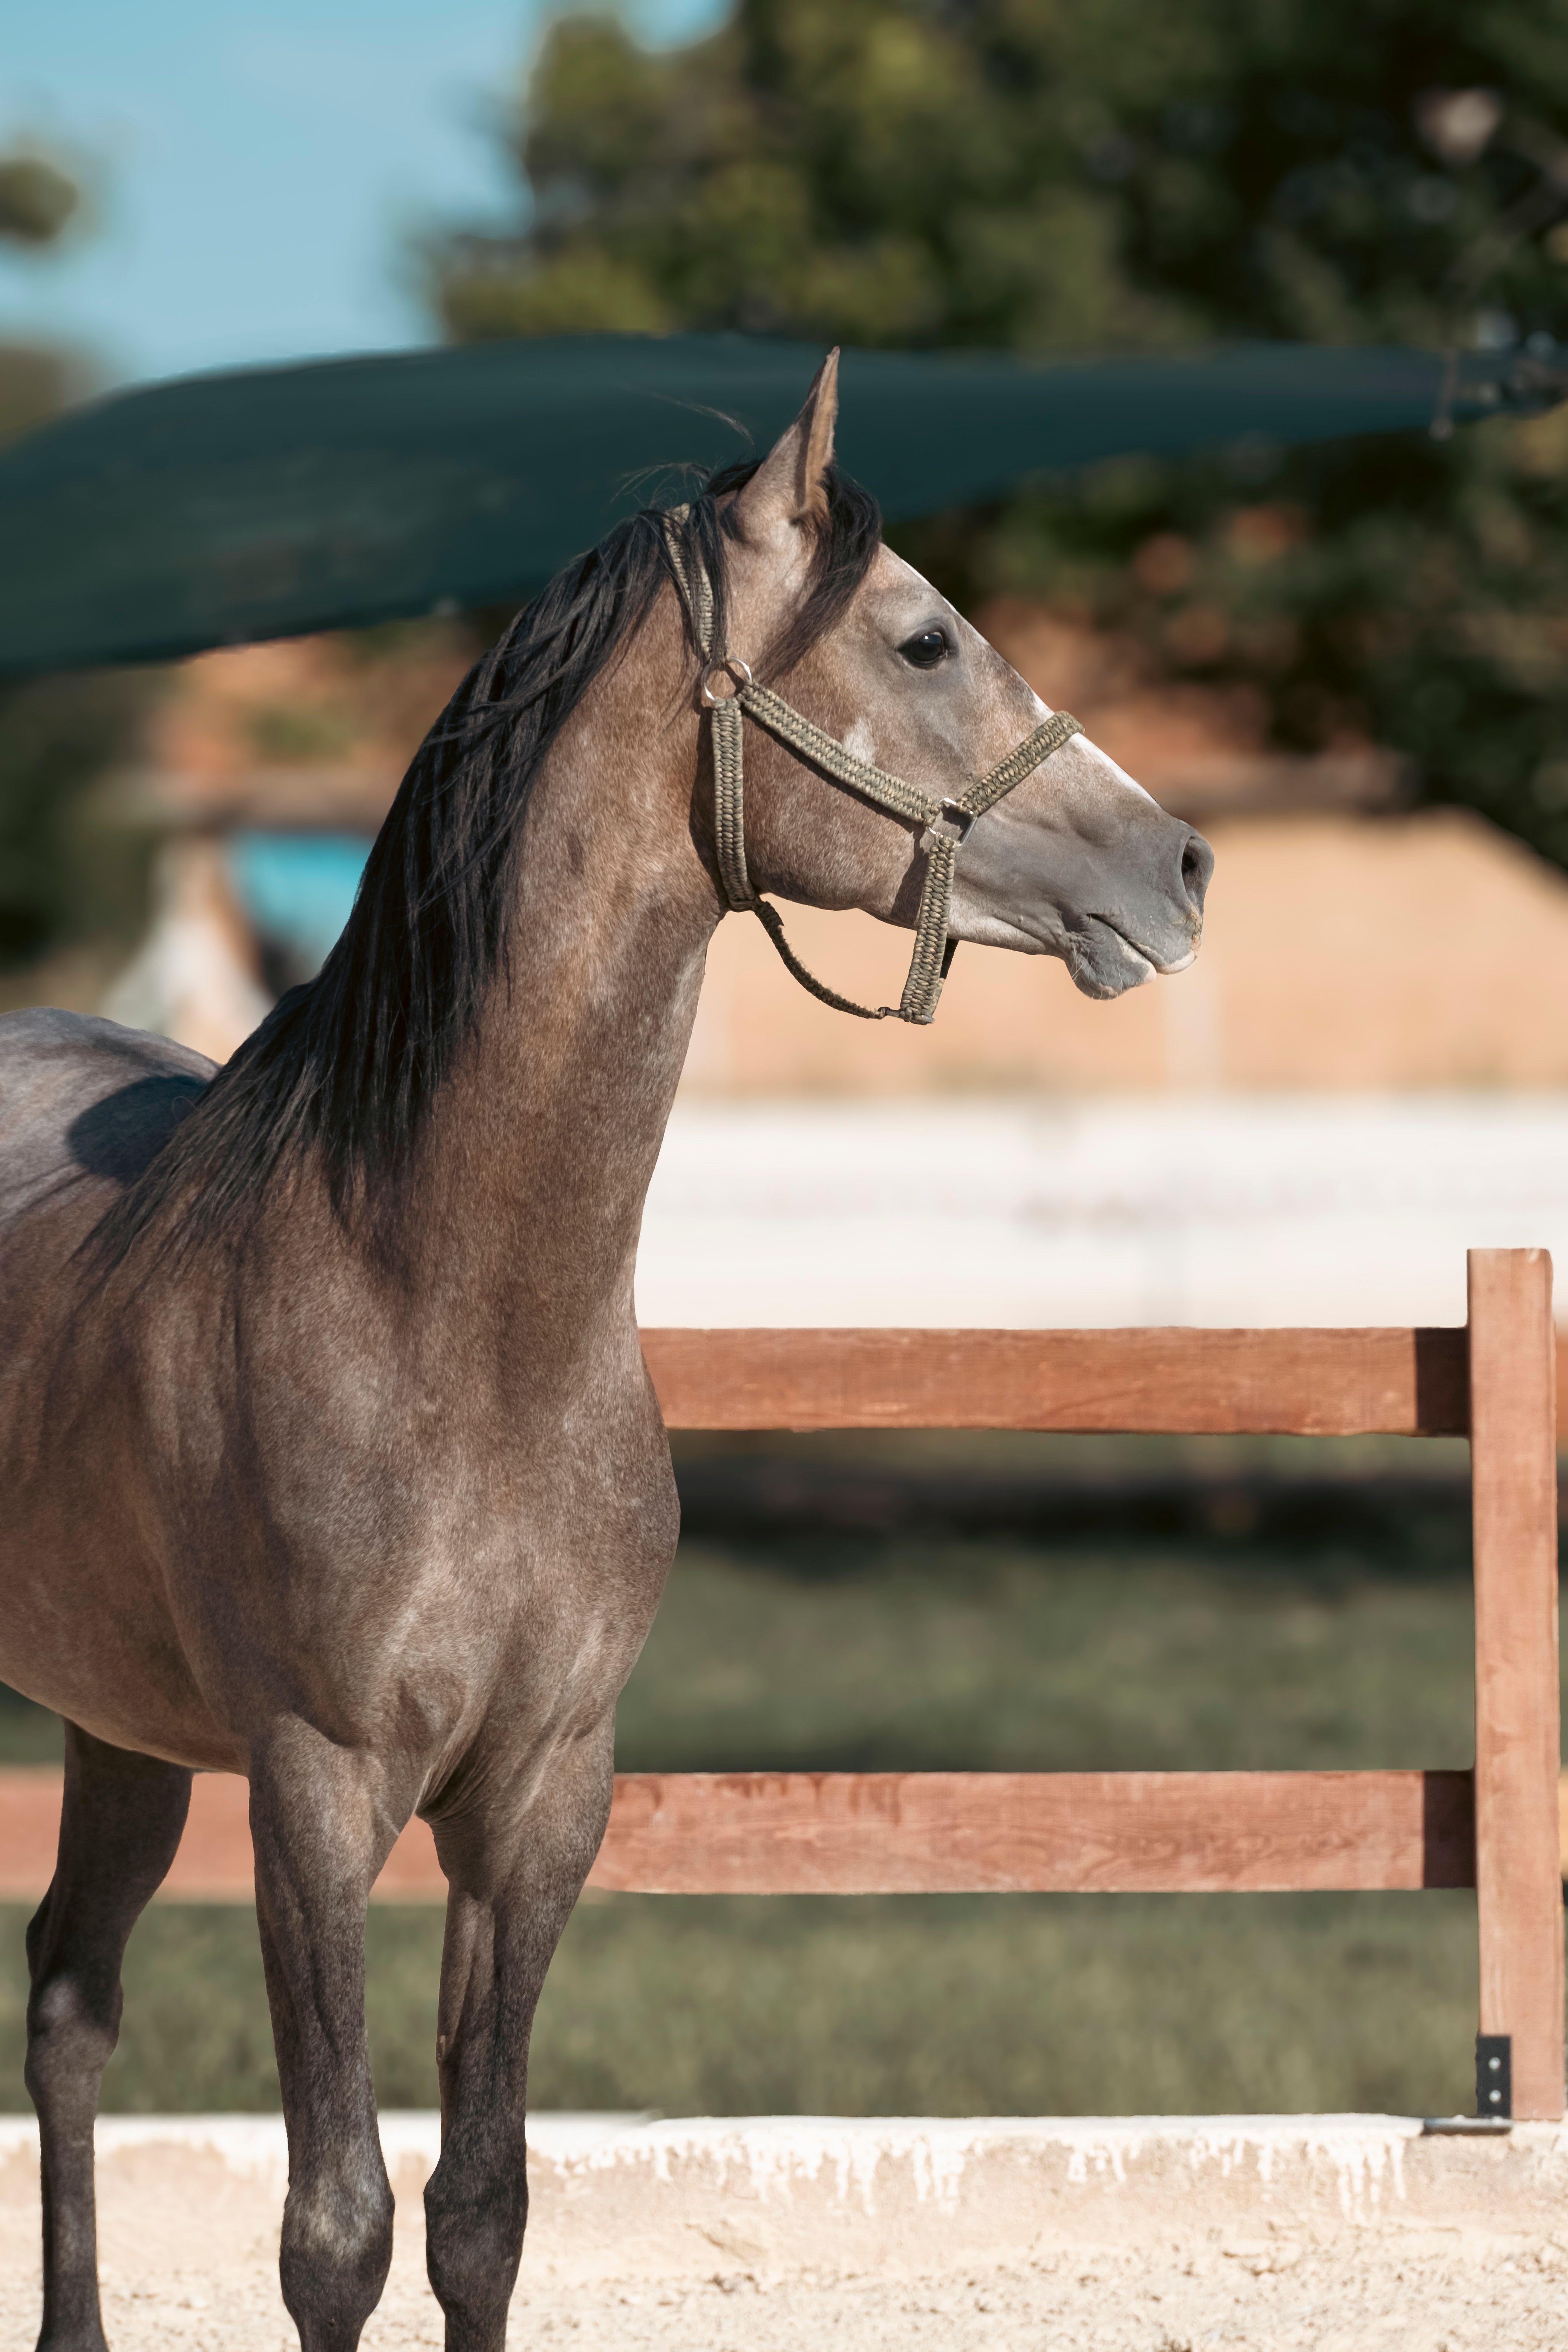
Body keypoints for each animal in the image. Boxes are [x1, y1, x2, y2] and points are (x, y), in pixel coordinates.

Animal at [0, 352, 1211, 2352]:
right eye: (924, 636)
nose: (1182, 859)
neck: (447, 1317)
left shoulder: (547, 1789)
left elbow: (480, 2205)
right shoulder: (314, 1788)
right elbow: (333, 2226)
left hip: (115, 1722)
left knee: (69, 2005)